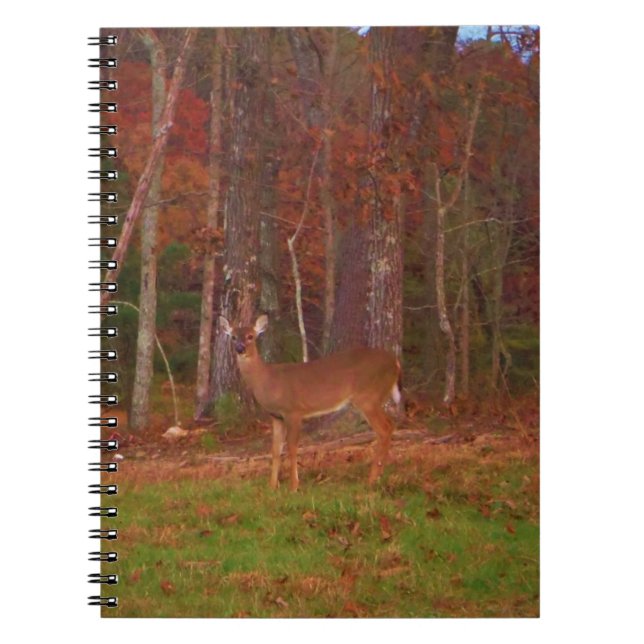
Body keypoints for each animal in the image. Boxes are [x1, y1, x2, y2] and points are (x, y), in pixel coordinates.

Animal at [220, 314, 402, 491]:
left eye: (251, 336)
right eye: (233, 337)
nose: (240, 348)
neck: (267, 380)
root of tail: (396, 362)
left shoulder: (293, 410)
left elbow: (292, 447)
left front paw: (294, 486)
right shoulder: (276, 416)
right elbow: (275, 450)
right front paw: (272, 487)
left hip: (368, 396)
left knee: (384, 428)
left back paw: (372, 480)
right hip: (373, 397)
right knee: (390, 425)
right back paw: (379, 475)